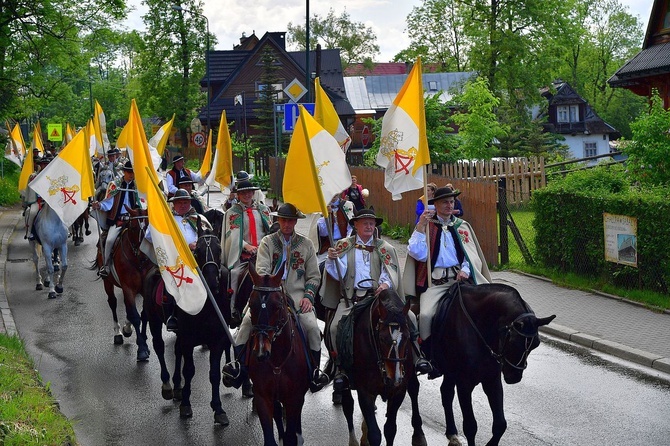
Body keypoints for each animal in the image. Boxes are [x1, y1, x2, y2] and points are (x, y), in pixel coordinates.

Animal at [90, 208, 150, 362]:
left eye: (148, 226)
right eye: (134, 228)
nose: (144, 253)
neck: (138, 260)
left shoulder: (143, 289)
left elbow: (144, 314)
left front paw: (142, 340)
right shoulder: (128, 287)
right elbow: (135, 316)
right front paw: (142, 349)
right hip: (108, 282)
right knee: (113, 302)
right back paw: (118, 333)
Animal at [247, 264, 310, 446]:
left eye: (277, 306)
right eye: (251, 305)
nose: (261, 351)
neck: (277, 361)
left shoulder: (294, 397)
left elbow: (290, 435)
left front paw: (294, 436)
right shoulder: (262, 396)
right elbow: (270, 438)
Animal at [338, 290, 428, 446]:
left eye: (407, 337)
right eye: (381, 338)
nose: (395, 378)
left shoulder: (398, 391)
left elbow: (390, 429)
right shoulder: (365, 392)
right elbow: (375, 434)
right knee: (348, 404)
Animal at [430, 284, 556, 444]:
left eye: (536, 344)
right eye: (513, 342)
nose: (514, 377)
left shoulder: (492, 380)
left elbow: (500, 424)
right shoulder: (464, 384)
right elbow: (470, 426)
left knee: (446, 392)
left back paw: (451, 432)